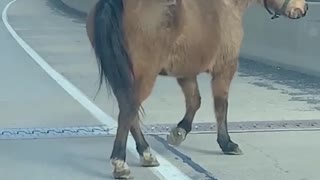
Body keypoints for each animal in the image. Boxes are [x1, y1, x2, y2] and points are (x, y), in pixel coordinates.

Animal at [84, 0, 308, 178]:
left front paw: (179, 131)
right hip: (143, 76)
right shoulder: (225, 68)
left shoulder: (186, 72)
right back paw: (121, 163)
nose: (303, 8)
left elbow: (194, 101)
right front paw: (227, 143)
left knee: (130, 112)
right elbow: (221, 106)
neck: (228, 5)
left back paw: (146, 154)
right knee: (128, 111)